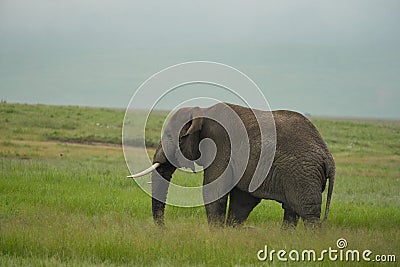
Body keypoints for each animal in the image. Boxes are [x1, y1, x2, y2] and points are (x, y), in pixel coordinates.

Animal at [129, 103, 334, 229]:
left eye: (170, 137)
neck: (202, 111)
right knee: (291, 211)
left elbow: (214, 191)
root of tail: (329, 158)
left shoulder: (220, 145)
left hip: (303, 175)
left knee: (308, 213)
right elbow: (242, 200)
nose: (165, 229)